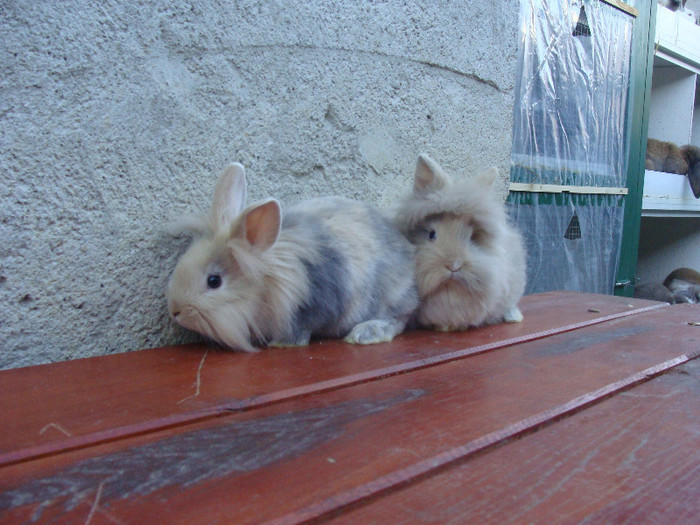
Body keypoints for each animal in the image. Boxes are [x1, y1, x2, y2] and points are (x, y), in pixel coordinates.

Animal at [167, 164, 418, 352]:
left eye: (214, 281)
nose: (176, 312)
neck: (266, 281)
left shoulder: (309, 307)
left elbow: (300, 330)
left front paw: (282, 344)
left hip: (388, 297)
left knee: (399, 319)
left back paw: (365, 333)